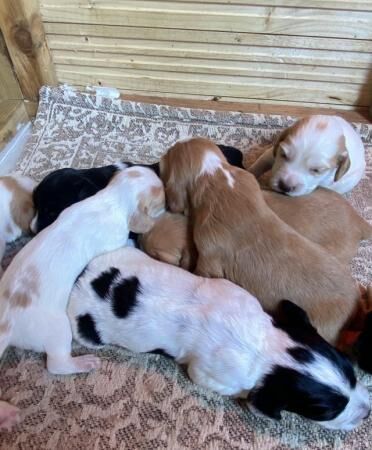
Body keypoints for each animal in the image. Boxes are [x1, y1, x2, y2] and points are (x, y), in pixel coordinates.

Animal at [0, 165, 164, 428]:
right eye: (162, 198)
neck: (110, 198)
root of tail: (7, 323)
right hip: (59, 330)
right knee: (56, 365)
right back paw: (83, 362)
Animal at [68, 248, 370, 430]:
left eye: (352, 373)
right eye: (326, 412)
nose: (368, 412)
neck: (269, 351)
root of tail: (84, 279)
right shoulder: (209, 376)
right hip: (87, 332)